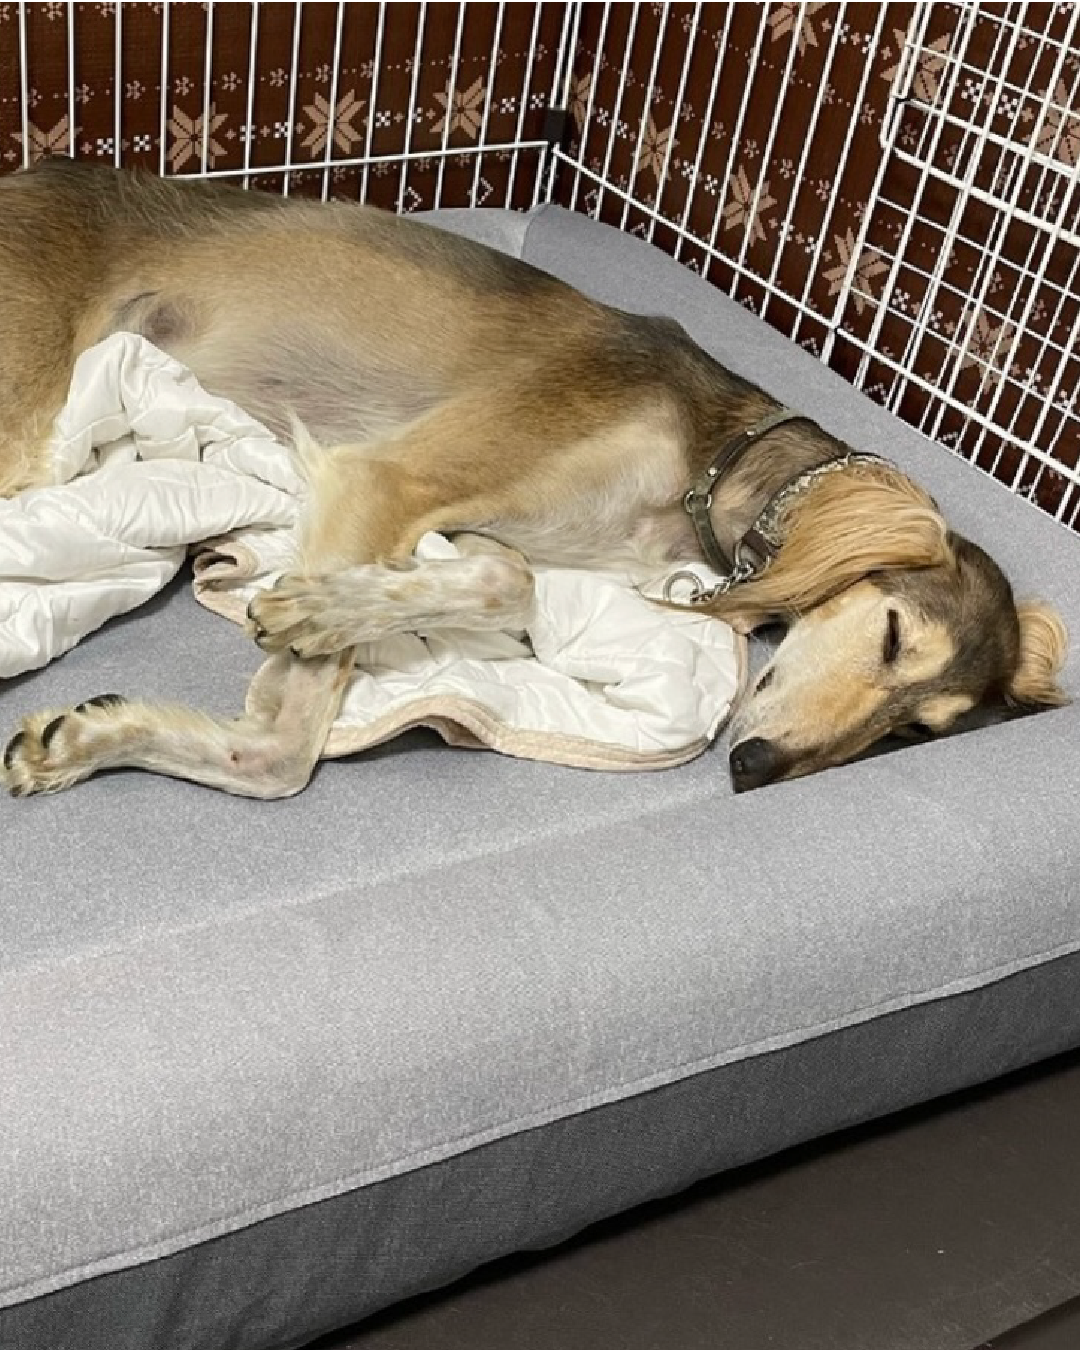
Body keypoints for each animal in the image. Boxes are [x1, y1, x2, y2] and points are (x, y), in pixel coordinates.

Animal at [0, 160, 1069, 788]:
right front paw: (312, 615)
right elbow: (285, 755)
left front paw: (99, 739)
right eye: (891, 635)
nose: (758, 768)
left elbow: (503, 579)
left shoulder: (479, 531)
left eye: (912, 735)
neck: (704, 459)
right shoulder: (385, 476)